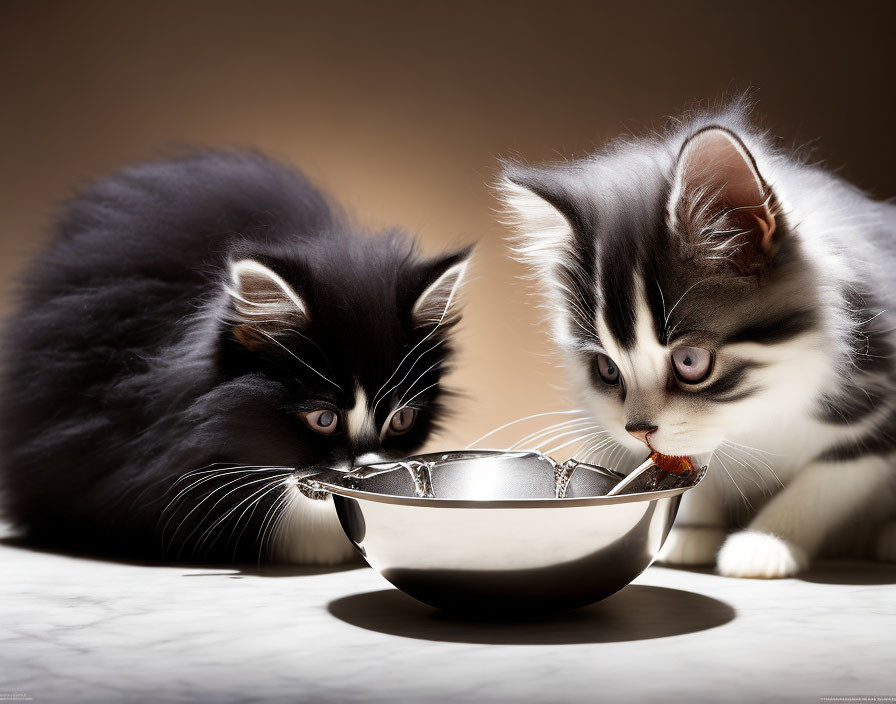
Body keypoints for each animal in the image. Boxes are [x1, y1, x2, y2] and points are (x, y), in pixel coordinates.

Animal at [500, 106, 896, 576]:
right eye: (608, 369)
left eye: (690, 362)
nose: (637, 430)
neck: (758, 415)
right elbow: (692, 463)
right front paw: (690, 532)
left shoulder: (881, 398)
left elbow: (827, 481)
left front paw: (767, 542)